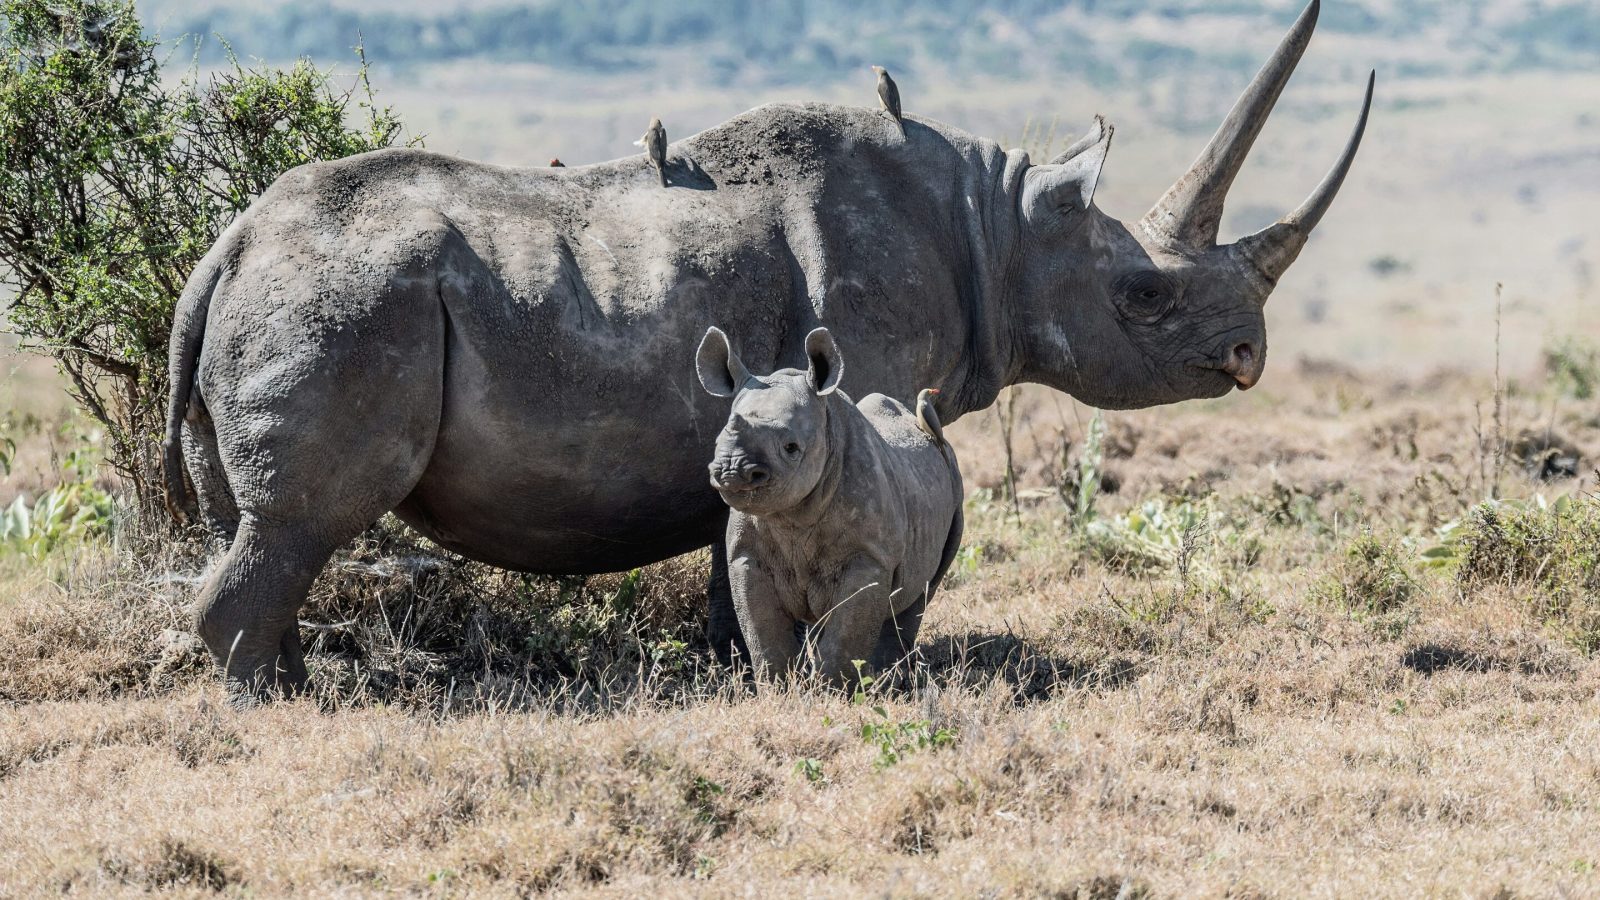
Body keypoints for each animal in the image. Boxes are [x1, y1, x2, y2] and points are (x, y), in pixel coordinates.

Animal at [697, 326, 963, 685]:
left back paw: (886, 680)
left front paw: (833, 690)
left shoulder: (869, 557)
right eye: (716, 442)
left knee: (920, 594)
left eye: (791, 447)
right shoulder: (747, 555)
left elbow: (845, 636)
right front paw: (779, 687)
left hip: (953, 487)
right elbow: (764, 633)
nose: (732, 471)